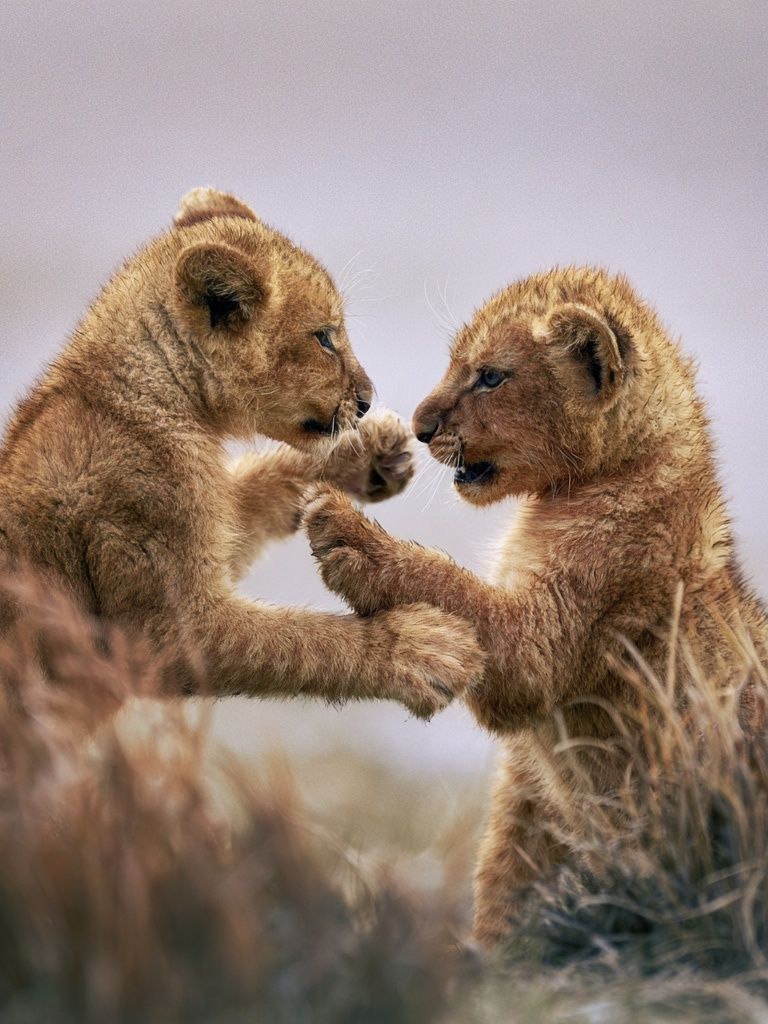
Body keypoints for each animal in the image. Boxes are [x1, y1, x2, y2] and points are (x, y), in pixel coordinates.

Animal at [0, 187, 484, 719]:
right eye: (325, 336)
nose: (365, 400)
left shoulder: (207, 519)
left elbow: (256, 490)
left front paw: (375, 452)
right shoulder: (159, 621)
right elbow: (297, 641)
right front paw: (418, 650)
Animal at [303, 265, 768, 946]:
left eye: (491, 376)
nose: (419, 427)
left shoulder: (551, 637)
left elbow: (458, 590)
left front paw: (343, 531)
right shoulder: (530, 780)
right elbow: (508, 863)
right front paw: (495, 950)